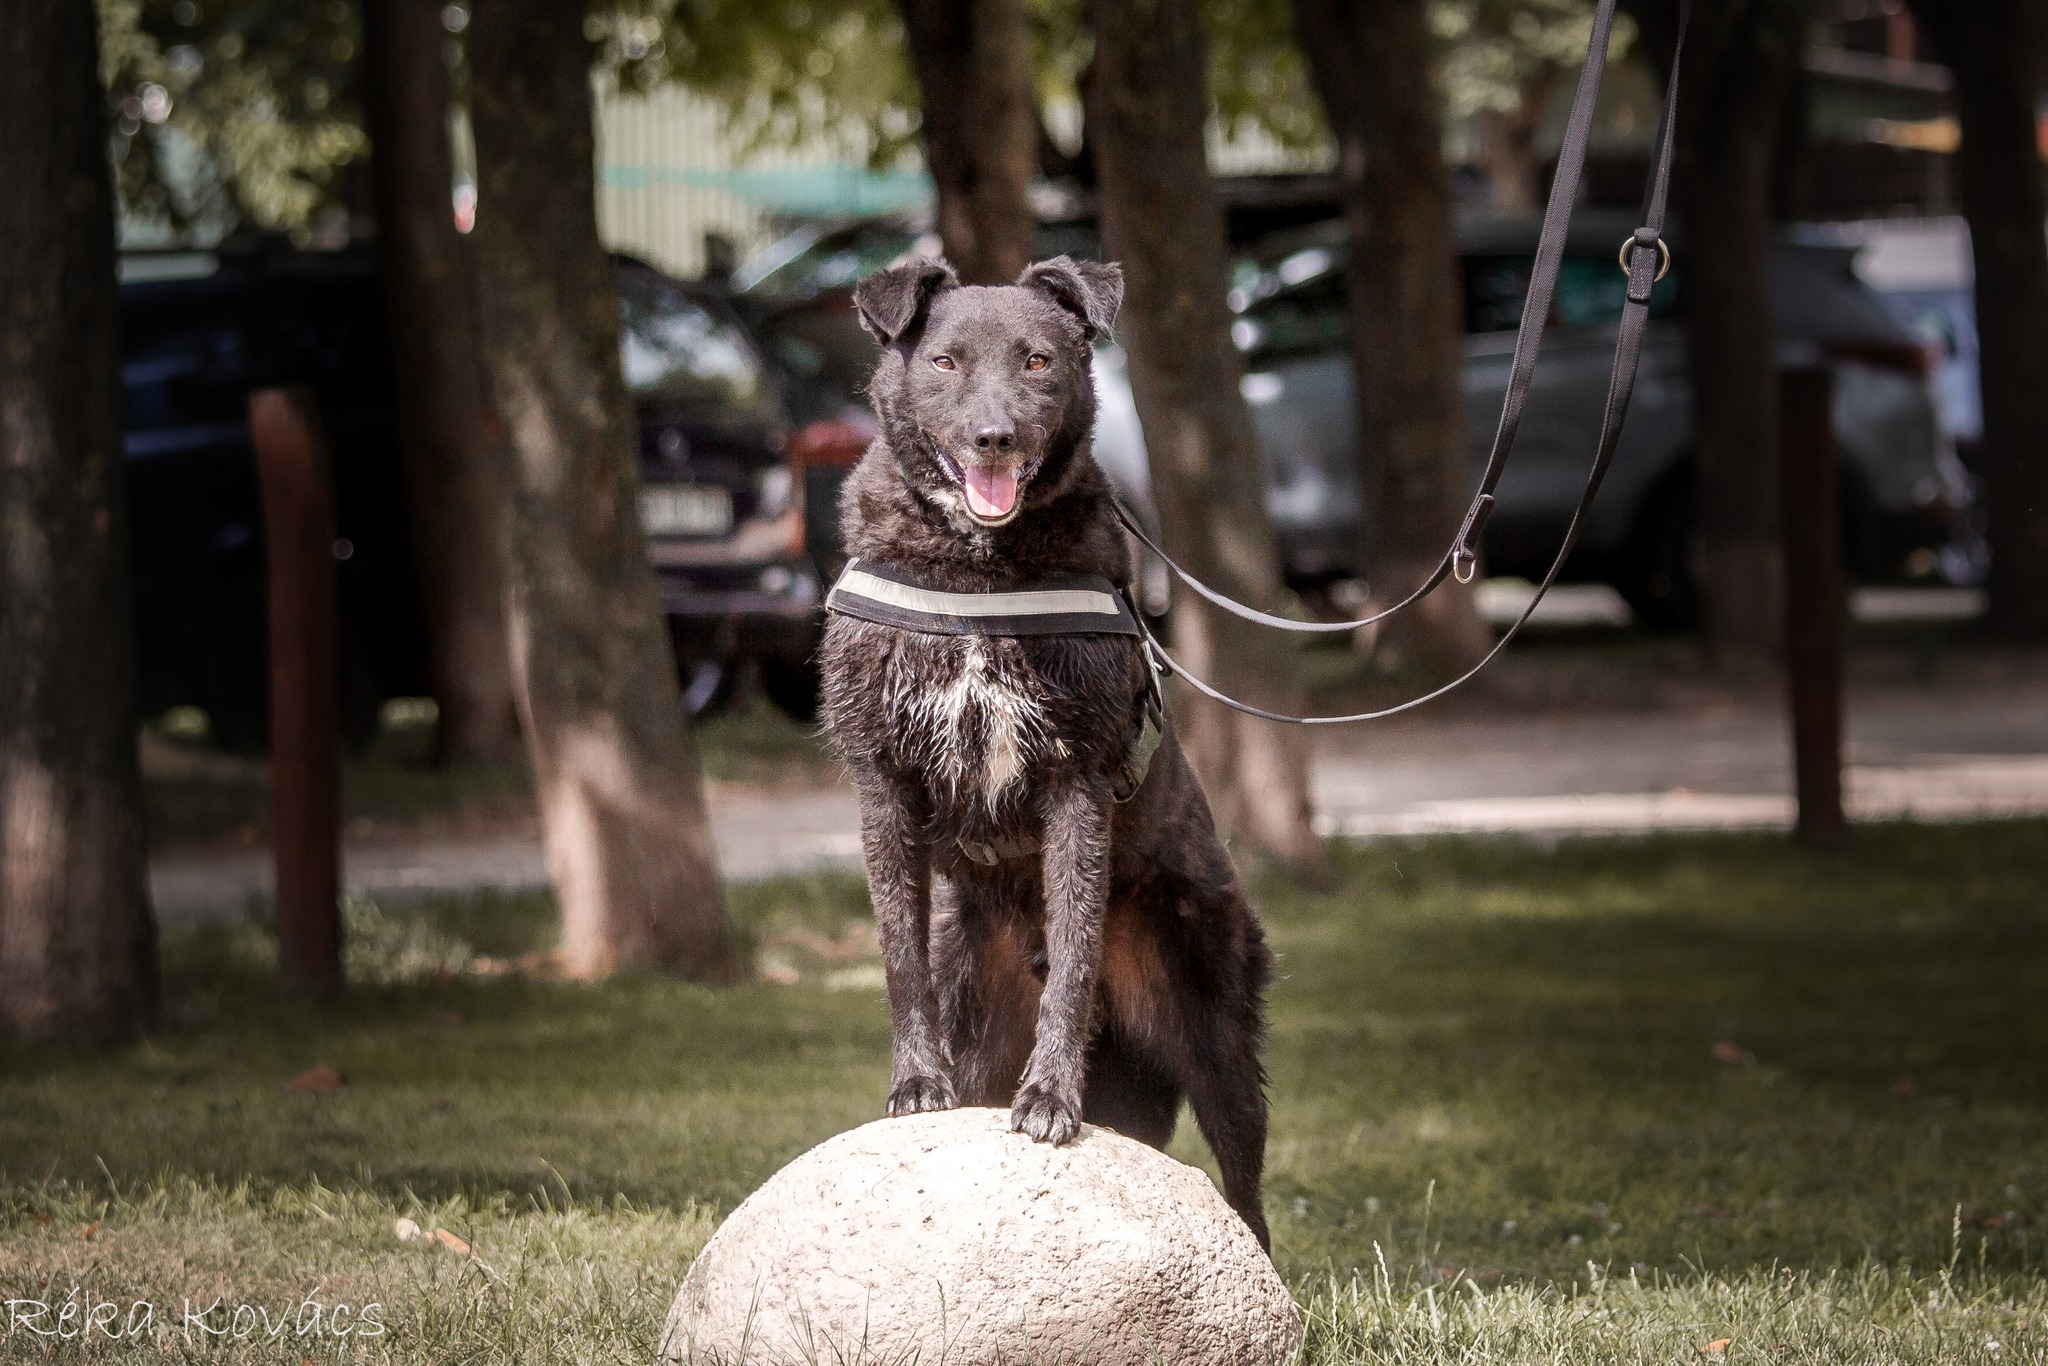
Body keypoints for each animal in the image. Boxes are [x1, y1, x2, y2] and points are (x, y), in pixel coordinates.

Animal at [819, 255, 1277, 1253]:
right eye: (944, 361)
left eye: (1037, 361)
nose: (993, 439)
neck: (977, 575)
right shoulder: (882, 782)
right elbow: (898, 951)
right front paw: (913, 1083)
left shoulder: (1078, 783)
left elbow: (1072, 946)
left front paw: (1052, 1096)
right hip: (983, 1010)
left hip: (1216, 1029)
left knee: (1246, 1184)